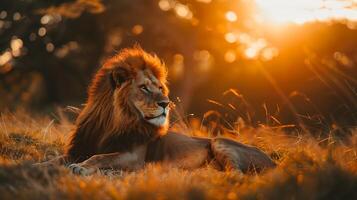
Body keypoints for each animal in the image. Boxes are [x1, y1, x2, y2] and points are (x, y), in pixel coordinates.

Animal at [39, 47, 276, 175]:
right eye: (144, 87)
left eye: (160, 88)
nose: (166, 103)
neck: (114, 123)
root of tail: (274, 162)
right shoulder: (80, 148)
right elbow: (58, 158)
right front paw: (40, 164)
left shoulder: (133, 157)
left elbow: (100, 157)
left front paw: (80, 168)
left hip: (219, 141)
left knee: (235, 172)